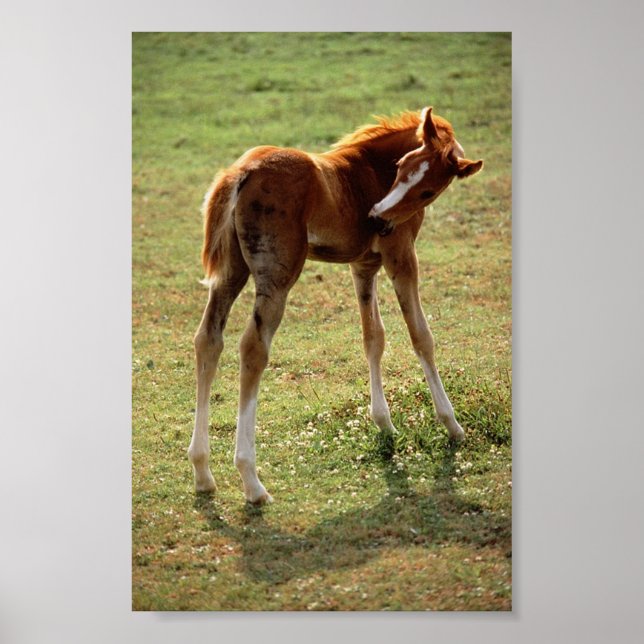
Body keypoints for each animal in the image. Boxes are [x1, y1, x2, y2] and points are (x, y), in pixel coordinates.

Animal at [188, 106, 483, 504]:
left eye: (427, 189)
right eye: (401, 166)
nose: (376, 217)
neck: (369, 169)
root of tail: (240, 172)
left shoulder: (363, 266)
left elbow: (373, 338)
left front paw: (384, 424)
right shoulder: (401, 257)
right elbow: (421, 336)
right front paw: (452, 424)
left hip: (231, 272)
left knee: (209, 340)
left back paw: (203, 472)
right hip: (276, 276)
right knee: (252, 348)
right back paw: (252, 481)